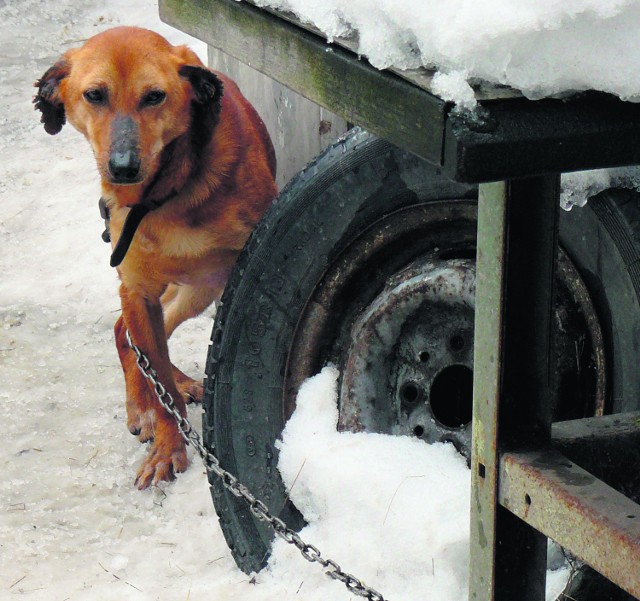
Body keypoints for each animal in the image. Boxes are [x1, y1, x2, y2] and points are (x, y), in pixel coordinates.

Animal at [33, 27, 276, 488]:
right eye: (94, 95)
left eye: (155, 96)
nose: (123, 166)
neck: (167, 195)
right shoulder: (137, 290)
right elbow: (155, 370)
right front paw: (167, 445)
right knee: (127, 336)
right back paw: (145, 405)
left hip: (203, 288)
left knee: (140, 333)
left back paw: (178, 384)